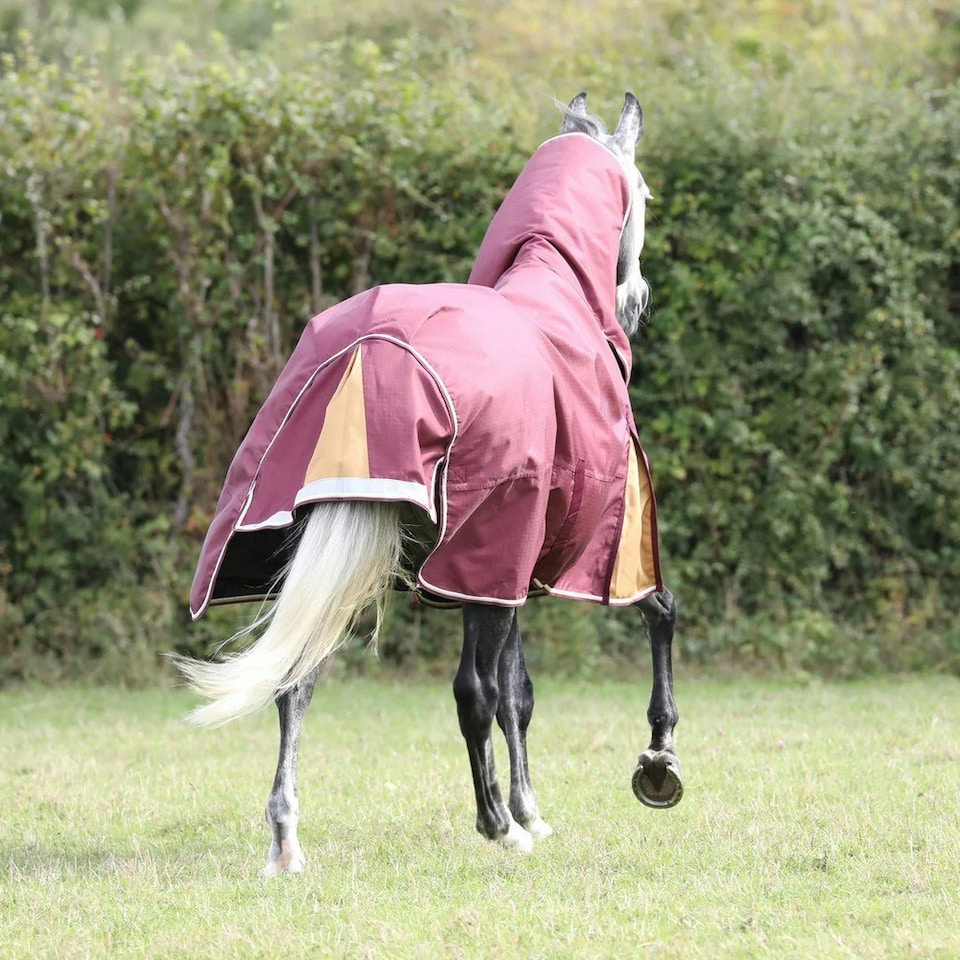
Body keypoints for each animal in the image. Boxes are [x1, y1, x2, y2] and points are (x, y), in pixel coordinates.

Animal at [177, 92, 682, 876]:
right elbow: (654, 611)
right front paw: (654, 762)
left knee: (295, 680)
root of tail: (366, 354)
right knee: (469, 690)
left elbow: (518, 694)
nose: (635, 298)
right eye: (645, 194)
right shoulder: (586, 542)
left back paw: (287, 842)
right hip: (475, 552)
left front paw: (533, 808)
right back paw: (495, 825)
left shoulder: (510, 574)